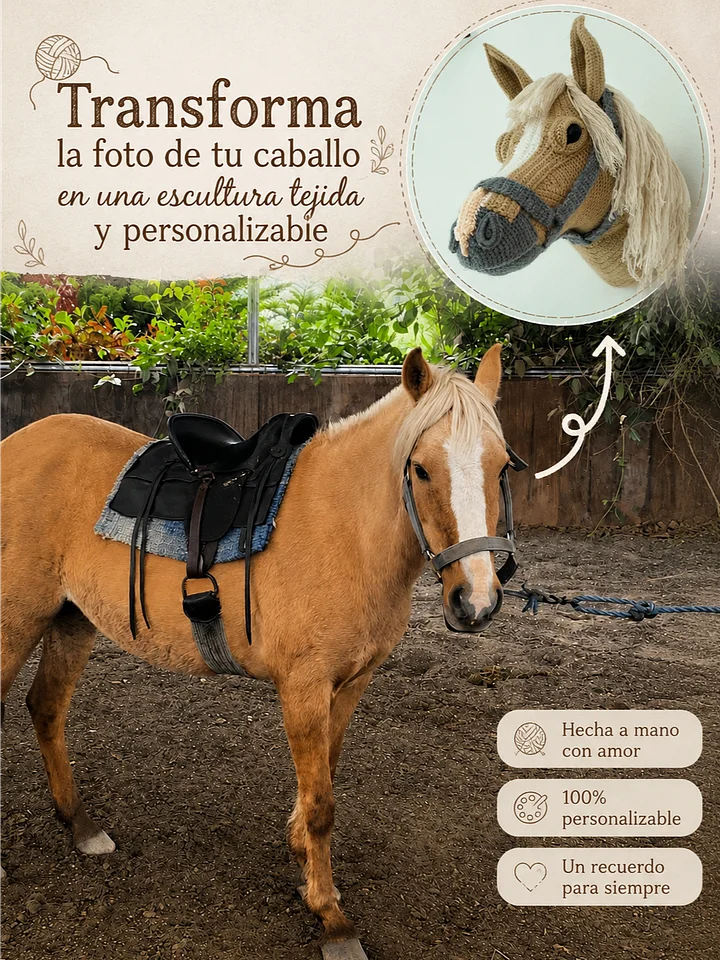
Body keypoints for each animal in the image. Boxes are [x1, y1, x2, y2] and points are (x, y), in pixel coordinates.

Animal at [0, 346, 511, 958]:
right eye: (422, 469)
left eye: (502, 467)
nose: (475, 601)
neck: (344, 528)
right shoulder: (303, 687)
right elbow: (322, 804)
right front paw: (330, 915)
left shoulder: (351, 683)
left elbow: (323, 776)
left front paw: (302, 858)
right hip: (15, 621)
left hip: (71, 619)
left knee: (46, 709)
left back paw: (80, 826)